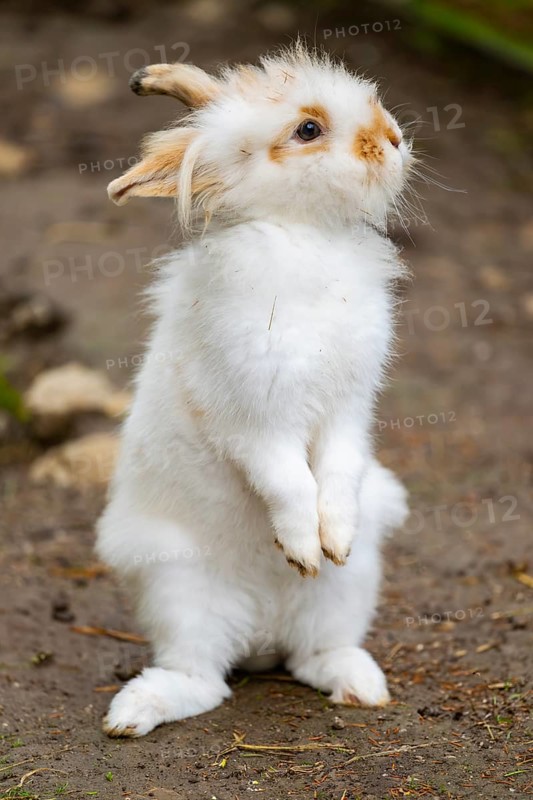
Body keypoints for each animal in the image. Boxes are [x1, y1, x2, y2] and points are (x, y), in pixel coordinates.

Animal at [96, 44, 411, 737]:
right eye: (308, 130)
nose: (394, 139)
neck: (307, 237)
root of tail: (262, 633)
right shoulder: (254, 420)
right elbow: (289, 483)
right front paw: (302, 546)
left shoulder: (348, 410)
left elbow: (338, 474)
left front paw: (331, 542)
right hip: (181, 590)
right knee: (203, 679)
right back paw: (132, 714)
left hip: (347, 592)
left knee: (314, 655)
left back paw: (362, 686)